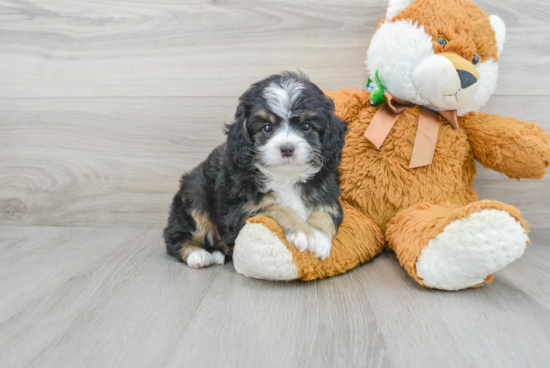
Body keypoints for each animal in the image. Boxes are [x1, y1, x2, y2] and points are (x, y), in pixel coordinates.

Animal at [162, 71, 348, 268]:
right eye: (267, 128)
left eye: (306, 126)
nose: (287, 148)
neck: (286, 177)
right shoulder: (240, 210)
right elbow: (274, 207)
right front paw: (302, 231)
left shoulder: (328, 192)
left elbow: (326, 213)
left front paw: (319, 238)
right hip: (195, 194)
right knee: (176, 235)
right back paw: (197, 254)